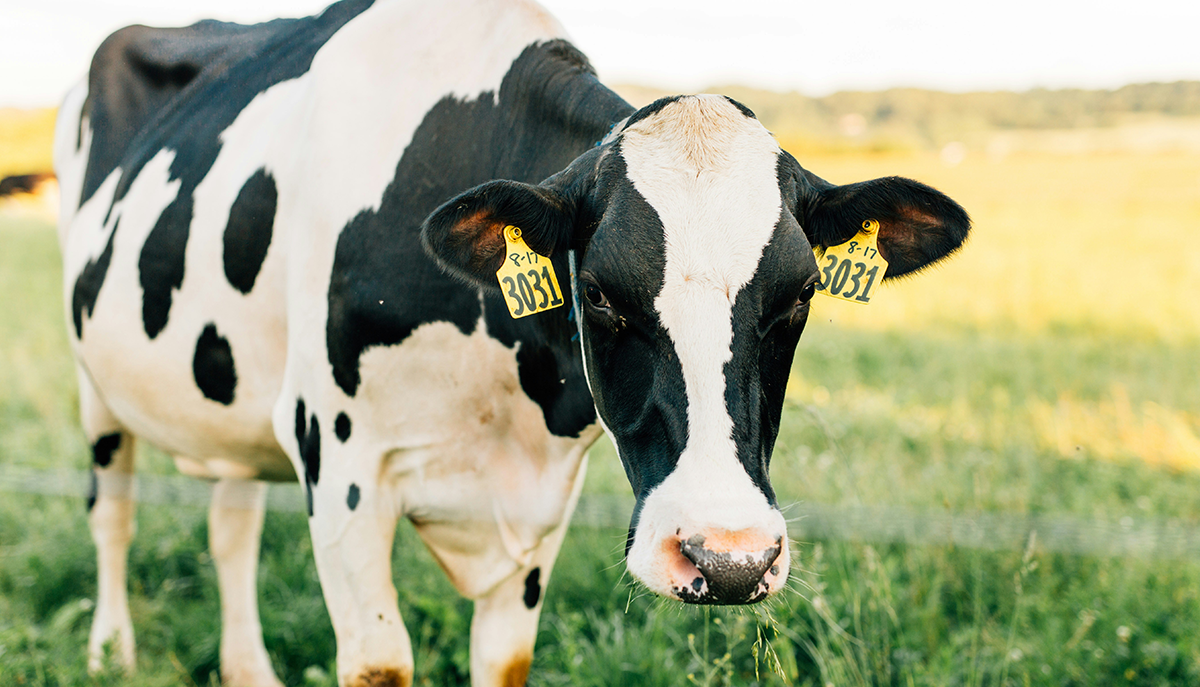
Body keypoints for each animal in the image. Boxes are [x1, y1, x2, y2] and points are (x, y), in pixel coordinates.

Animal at [54, 0, 969, 685]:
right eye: (597, 291)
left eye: (802, 293)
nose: (731, 557)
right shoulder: (339, 460)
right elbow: (380, 661)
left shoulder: (542, 490)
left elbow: (504, 660)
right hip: (96, 383)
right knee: (112, 513)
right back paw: (109, 650)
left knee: (231, 522)